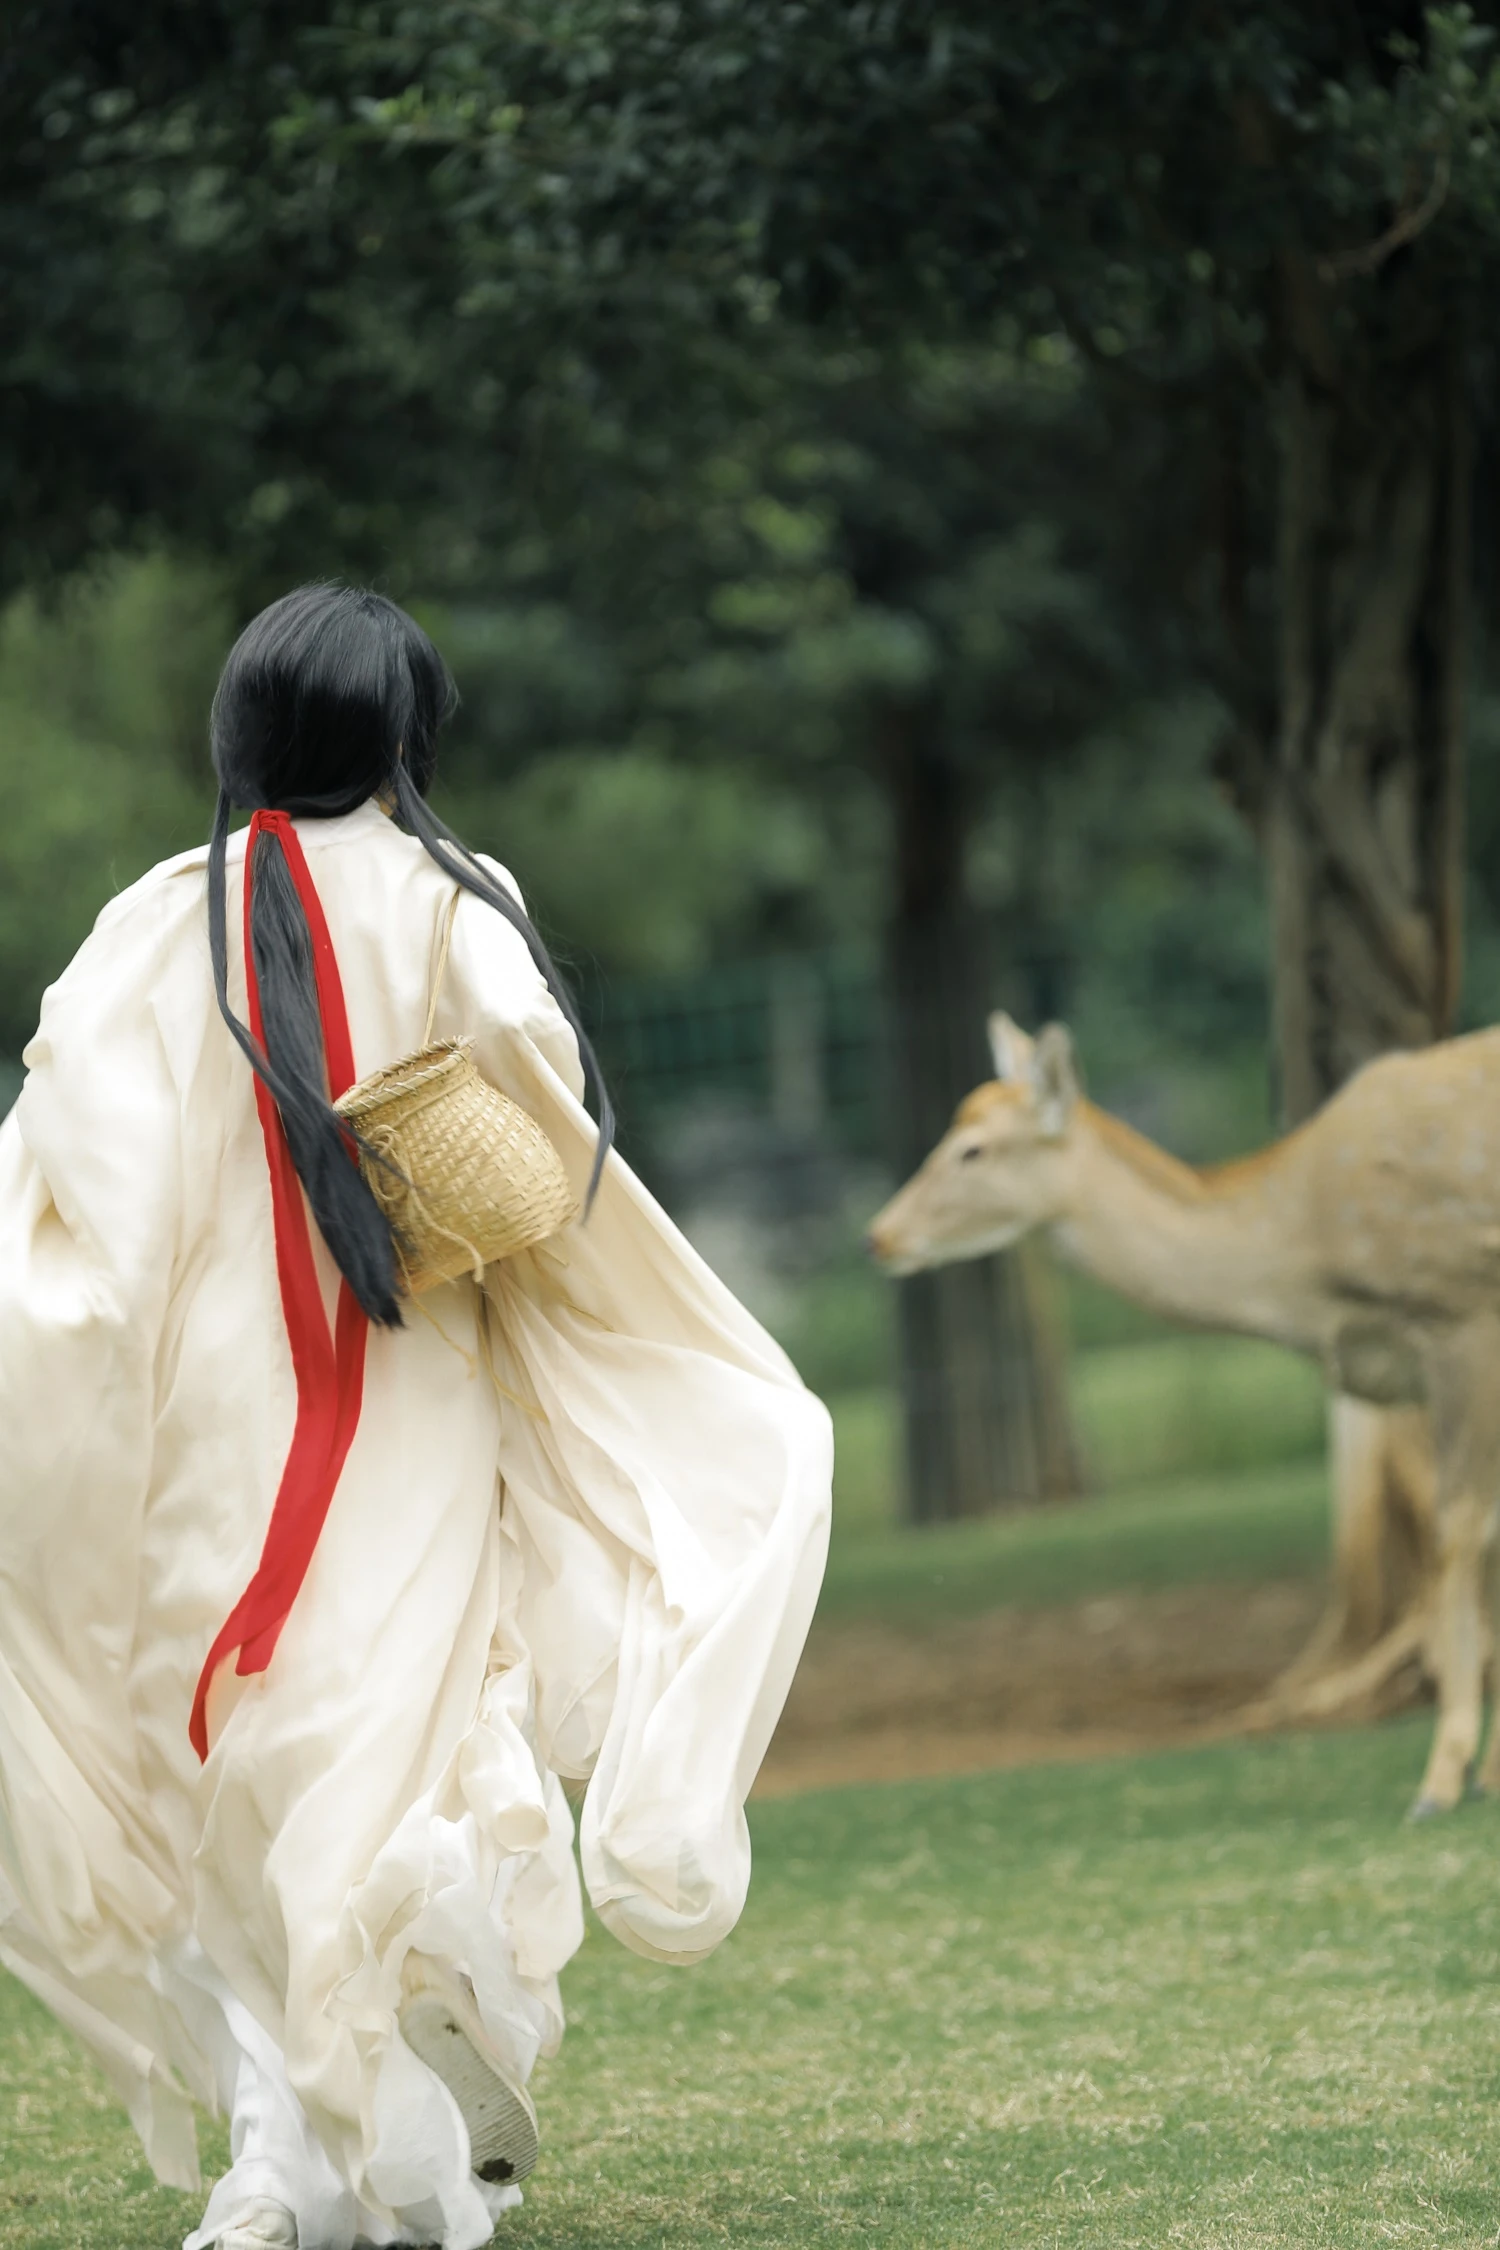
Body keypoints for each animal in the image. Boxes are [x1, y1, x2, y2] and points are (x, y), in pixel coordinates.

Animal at [867, 1013, 1500, 1818]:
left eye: (972, 1148)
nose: (879, 1235)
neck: (1312, 1272)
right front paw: (1481, 1772)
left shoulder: (1464, 1315)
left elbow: (1461, 1532)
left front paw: (1444, 1780)